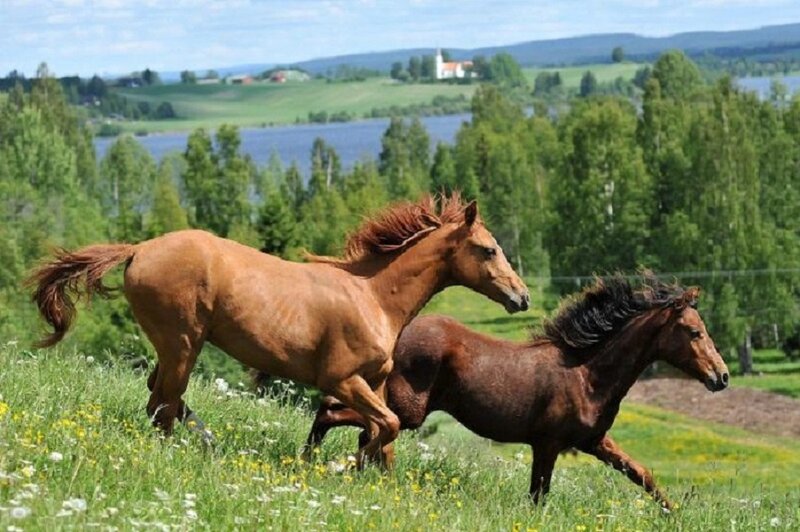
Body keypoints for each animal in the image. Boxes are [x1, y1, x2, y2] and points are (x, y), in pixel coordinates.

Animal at [27, 194, 530, 467]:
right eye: (488, 250)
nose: (521, 297)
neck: (373, 296)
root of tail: (138, 249)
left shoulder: (375, 382)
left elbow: (383, 437)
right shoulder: (340, 380)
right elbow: (383, 427)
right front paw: (344, 467)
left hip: (176, 348)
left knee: (161, 398)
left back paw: (208, 443)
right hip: (183, 345)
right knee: (163, 404)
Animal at [292, 275, 729, 508]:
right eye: (694, 332)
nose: (721, 377)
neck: (588, 375)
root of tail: (397, 333)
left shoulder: (593, 441)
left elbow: (641, 474)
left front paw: (676, 512)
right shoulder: (548, 444)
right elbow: (538, 495)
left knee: (369, 430)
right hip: (408, 408)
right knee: (342, 415)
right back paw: (313, 461)